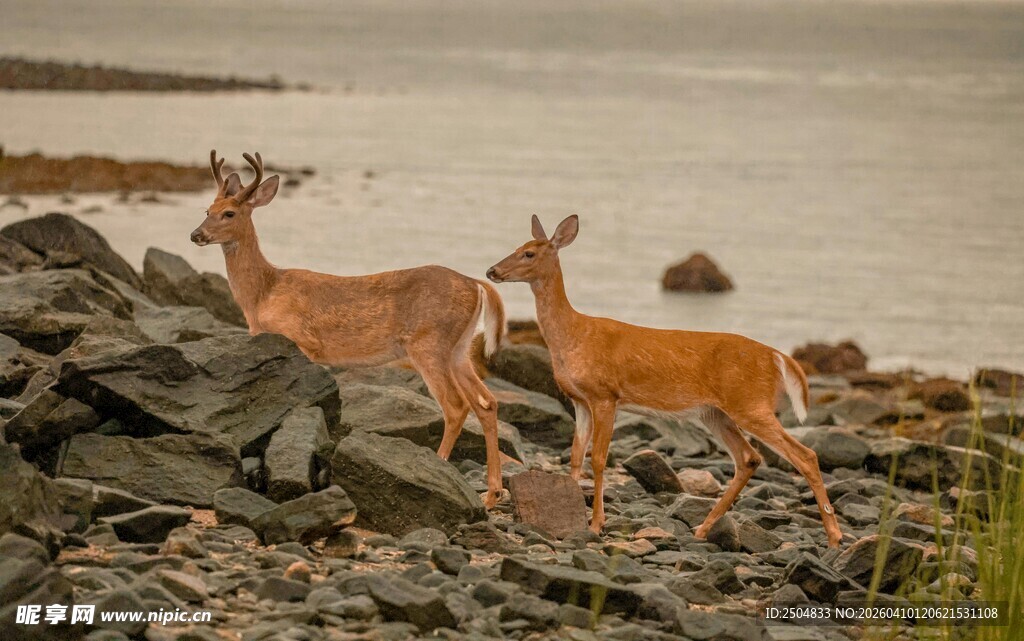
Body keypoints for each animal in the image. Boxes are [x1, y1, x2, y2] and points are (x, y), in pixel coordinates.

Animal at [191, 151, 508, 507]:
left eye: (229, 213)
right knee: (487, 402)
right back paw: (491, 494)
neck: (263, 294)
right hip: (459, 348)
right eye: (207, 210)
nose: (196, 235)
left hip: (429, 343)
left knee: (456, 405)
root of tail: (477, 285)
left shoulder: (302, 339)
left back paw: (440, 467)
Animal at [486, 215, 843, 548]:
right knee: (749, 458)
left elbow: (599, 459)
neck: (574, 335)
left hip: (750, 403)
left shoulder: (606, 395)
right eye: (517, 246)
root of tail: (777, 356)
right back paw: (702, 529)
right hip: (715, 412)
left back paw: (835, 537)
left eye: (529, 253)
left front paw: (597, 524)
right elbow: (575, 455)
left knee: (805, 455)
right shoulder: (579, 400)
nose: (492, 271)